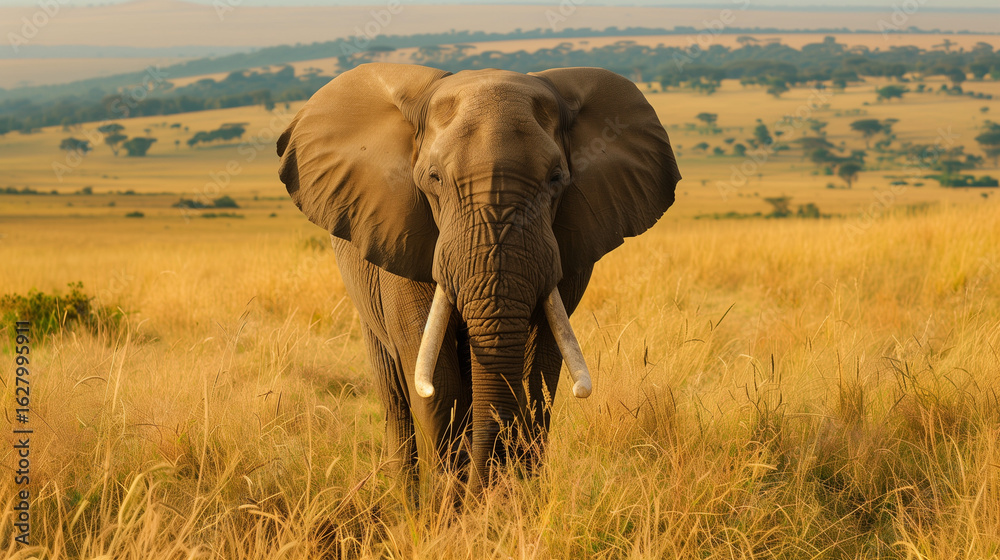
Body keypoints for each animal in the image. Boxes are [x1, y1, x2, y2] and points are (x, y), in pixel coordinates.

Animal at [277, 63, 680, 499]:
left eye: (557, 178)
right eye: (434, 178)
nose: (481, 494)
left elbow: (536, 375)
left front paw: (513, 503)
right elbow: (436, 380)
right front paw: (446, 510)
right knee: (395, 397)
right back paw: (408, 503)